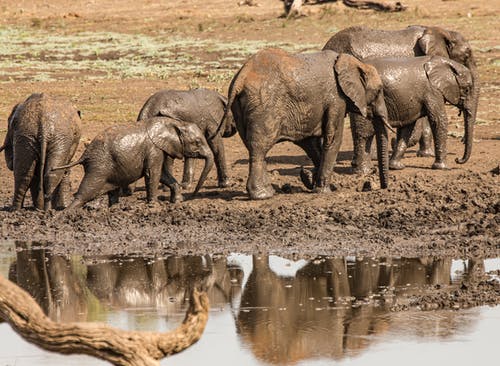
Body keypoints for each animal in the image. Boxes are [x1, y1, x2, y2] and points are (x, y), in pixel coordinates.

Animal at [52, 116, 213, 210]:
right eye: (197, 142)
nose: (192, 196)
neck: (175, 123)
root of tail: (85, 155)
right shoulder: (154, 149)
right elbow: (153, 173)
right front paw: (154, 206)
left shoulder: (158, 150)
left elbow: (162, 174)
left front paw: (178, 201)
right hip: (98, 165)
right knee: (86, 192)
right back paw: (63, 215)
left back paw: (113, 209)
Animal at [219, 48, 390, 200]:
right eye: (379, 91)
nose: (383, 187)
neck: (354, 63)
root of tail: (241, 78)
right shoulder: (337, 99)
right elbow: (333, 138)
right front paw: (324, 191)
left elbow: (310, 143)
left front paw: (310, 180)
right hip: (263, 106)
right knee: (259, 148)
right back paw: (263, 195)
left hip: (240, 108)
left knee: (252, 147)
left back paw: (268, 191)